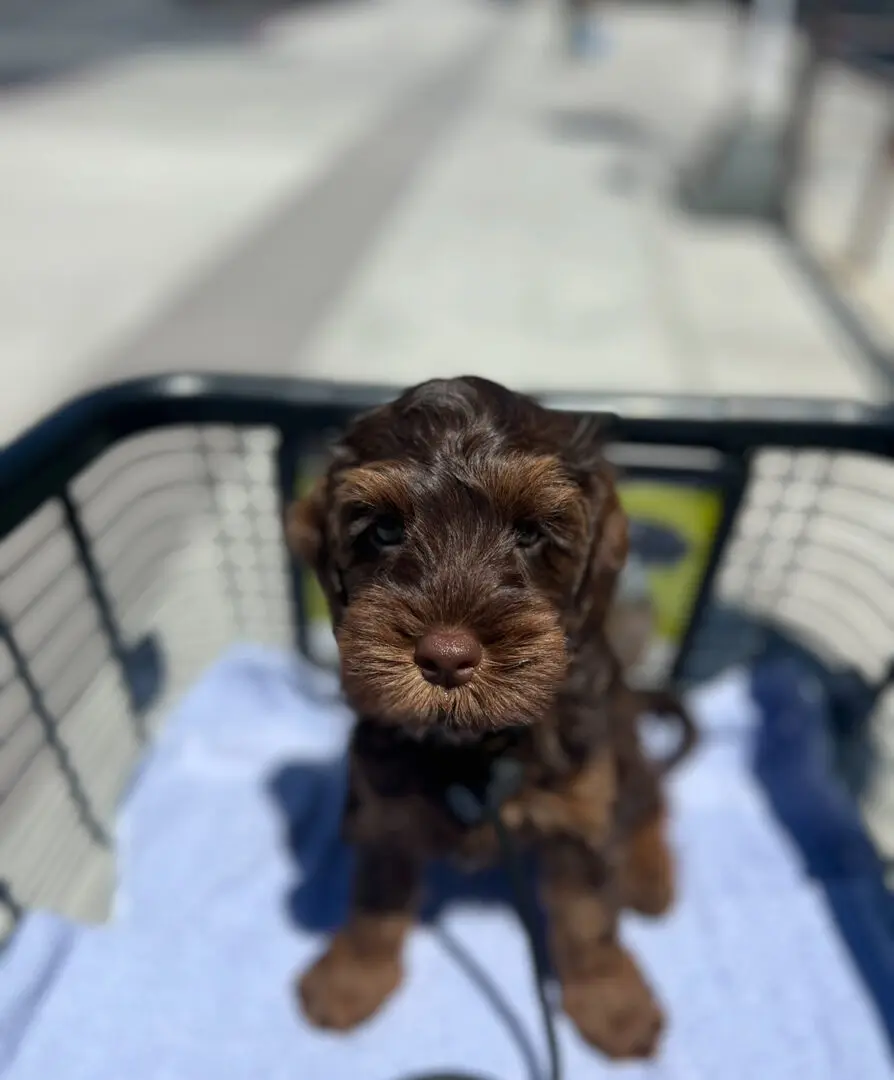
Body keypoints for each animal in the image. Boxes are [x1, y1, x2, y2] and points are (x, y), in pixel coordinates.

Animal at [287, 380, 682, 1062]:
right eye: (384, 529)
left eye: (530, 533)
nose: (446, 656)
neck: (472, 741)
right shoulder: (384, 805)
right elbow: (374, 902)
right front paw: (350, 979)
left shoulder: (578, 813)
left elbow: (589, 920)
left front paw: (613, 1004)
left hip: (621, 749)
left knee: (648, 795)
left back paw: (648, 876)